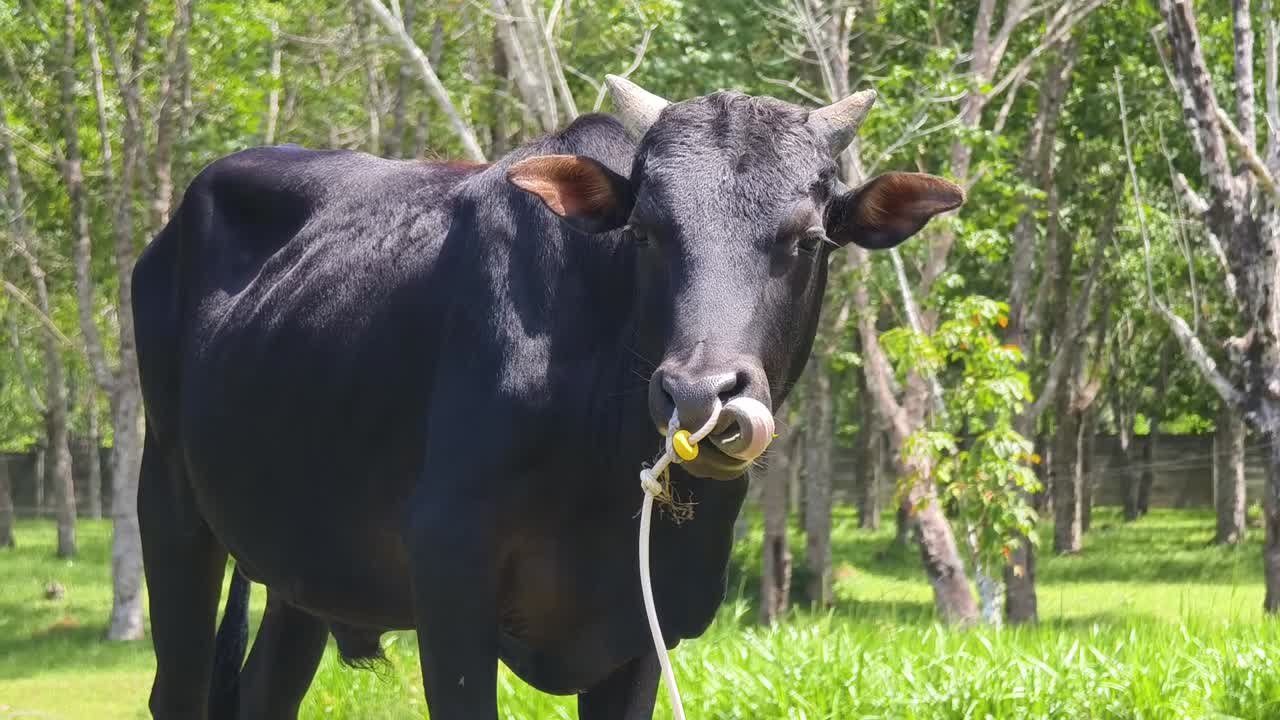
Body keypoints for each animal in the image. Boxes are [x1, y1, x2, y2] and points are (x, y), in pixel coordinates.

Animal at [131, 76, 963, 719]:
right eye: (646, 231)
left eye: (810, 239)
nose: (700, 393)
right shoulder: (450, 590)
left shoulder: (647, 624)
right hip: (169, 500)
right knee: (179, 690)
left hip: (300, 571)